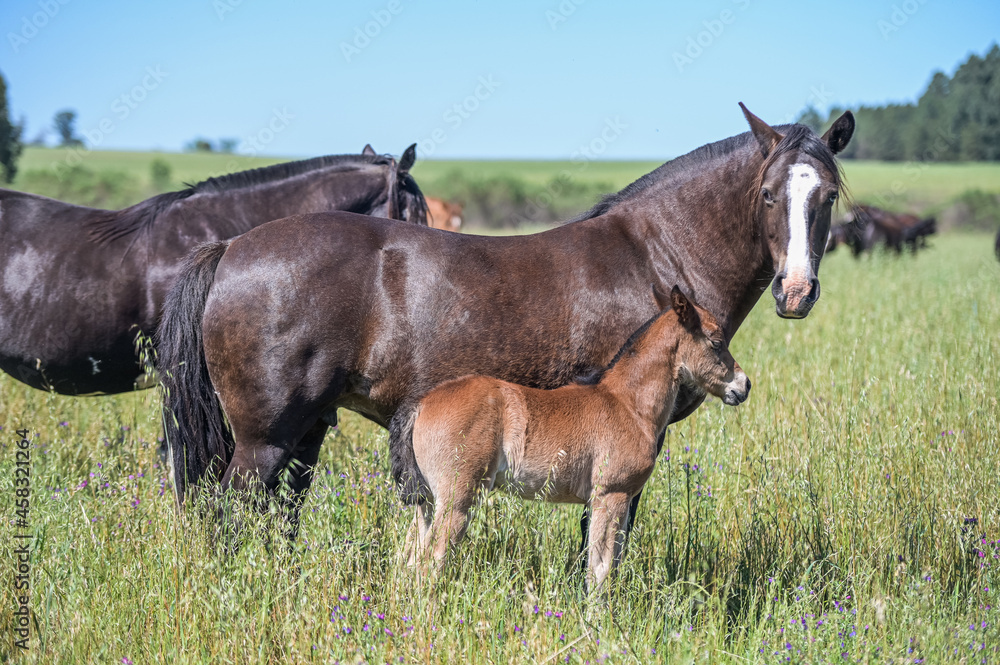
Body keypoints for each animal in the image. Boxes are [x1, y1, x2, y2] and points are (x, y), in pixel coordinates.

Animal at [402, 288, 748, 588]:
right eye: (716, 342)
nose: (744, 386)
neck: (628, 404)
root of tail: (420, 405)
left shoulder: (608, 501)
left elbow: (606, 564)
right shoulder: (611, 495)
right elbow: (601, 569)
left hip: (429, 502)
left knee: (413, 558)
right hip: (458, 500)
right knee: (431, 561)